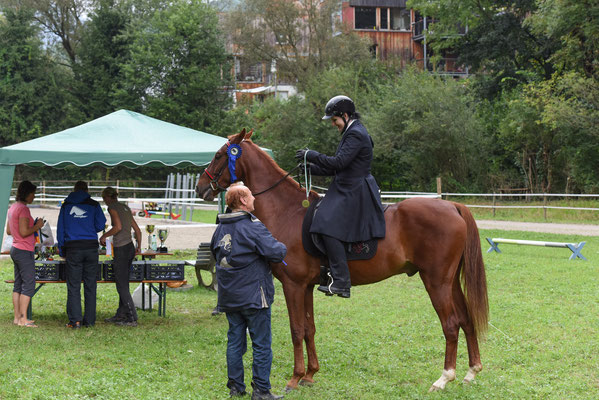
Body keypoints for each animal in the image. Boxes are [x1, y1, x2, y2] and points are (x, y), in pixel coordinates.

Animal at [197, 130, 488, 392]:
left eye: (219, 155)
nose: (201, 187)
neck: (286, 211)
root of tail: (452, 206)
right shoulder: (307, 287)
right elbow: (309, 328)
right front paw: (310, 374)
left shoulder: (293, 286)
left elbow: (296, 330)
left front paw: (295, 378)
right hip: (450, 282)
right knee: (466, 319)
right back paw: (471, 372)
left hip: (436, 282)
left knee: (450, 325)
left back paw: (444, 378)